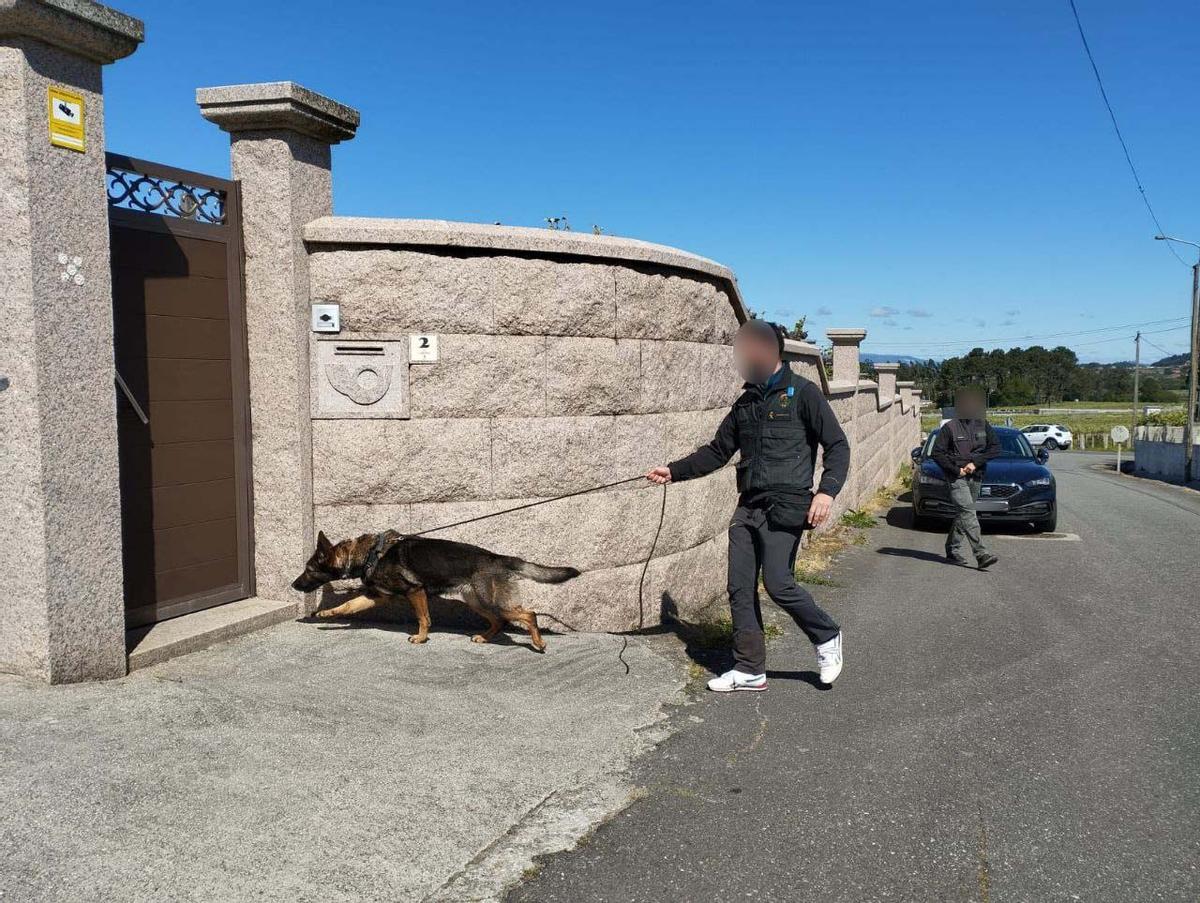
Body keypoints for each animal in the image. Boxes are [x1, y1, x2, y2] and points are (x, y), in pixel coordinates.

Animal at [285, 528, 576, 648]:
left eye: (309, 570)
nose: (293, 584)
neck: (368, 555)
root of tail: (498, 558)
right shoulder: (376, 596)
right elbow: (346, 606)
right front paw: (325, 615)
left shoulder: (415, 591)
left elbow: (423, 618)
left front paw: (421, 638)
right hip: (477, 602)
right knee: (499, 621)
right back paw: (484, 638)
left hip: (491, 602)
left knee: (529, 614)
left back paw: (538, 643)